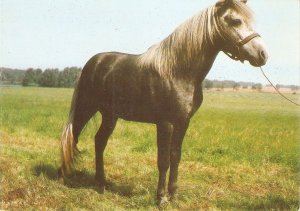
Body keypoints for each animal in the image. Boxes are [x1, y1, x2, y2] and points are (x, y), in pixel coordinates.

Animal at [58, 0, 268, 205]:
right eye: (235, 21)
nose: (263, 54)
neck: (178, 71)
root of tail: (94, 62)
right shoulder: (165, 123)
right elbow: (163, 160)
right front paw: (161, 198)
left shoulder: (183, 122)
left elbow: (175, 157)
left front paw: (173, 195)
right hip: (86, 107)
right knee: (72, 136)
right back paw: (63, 176)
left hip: (110, 115)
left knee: (99, 141)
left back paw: (100, 183)